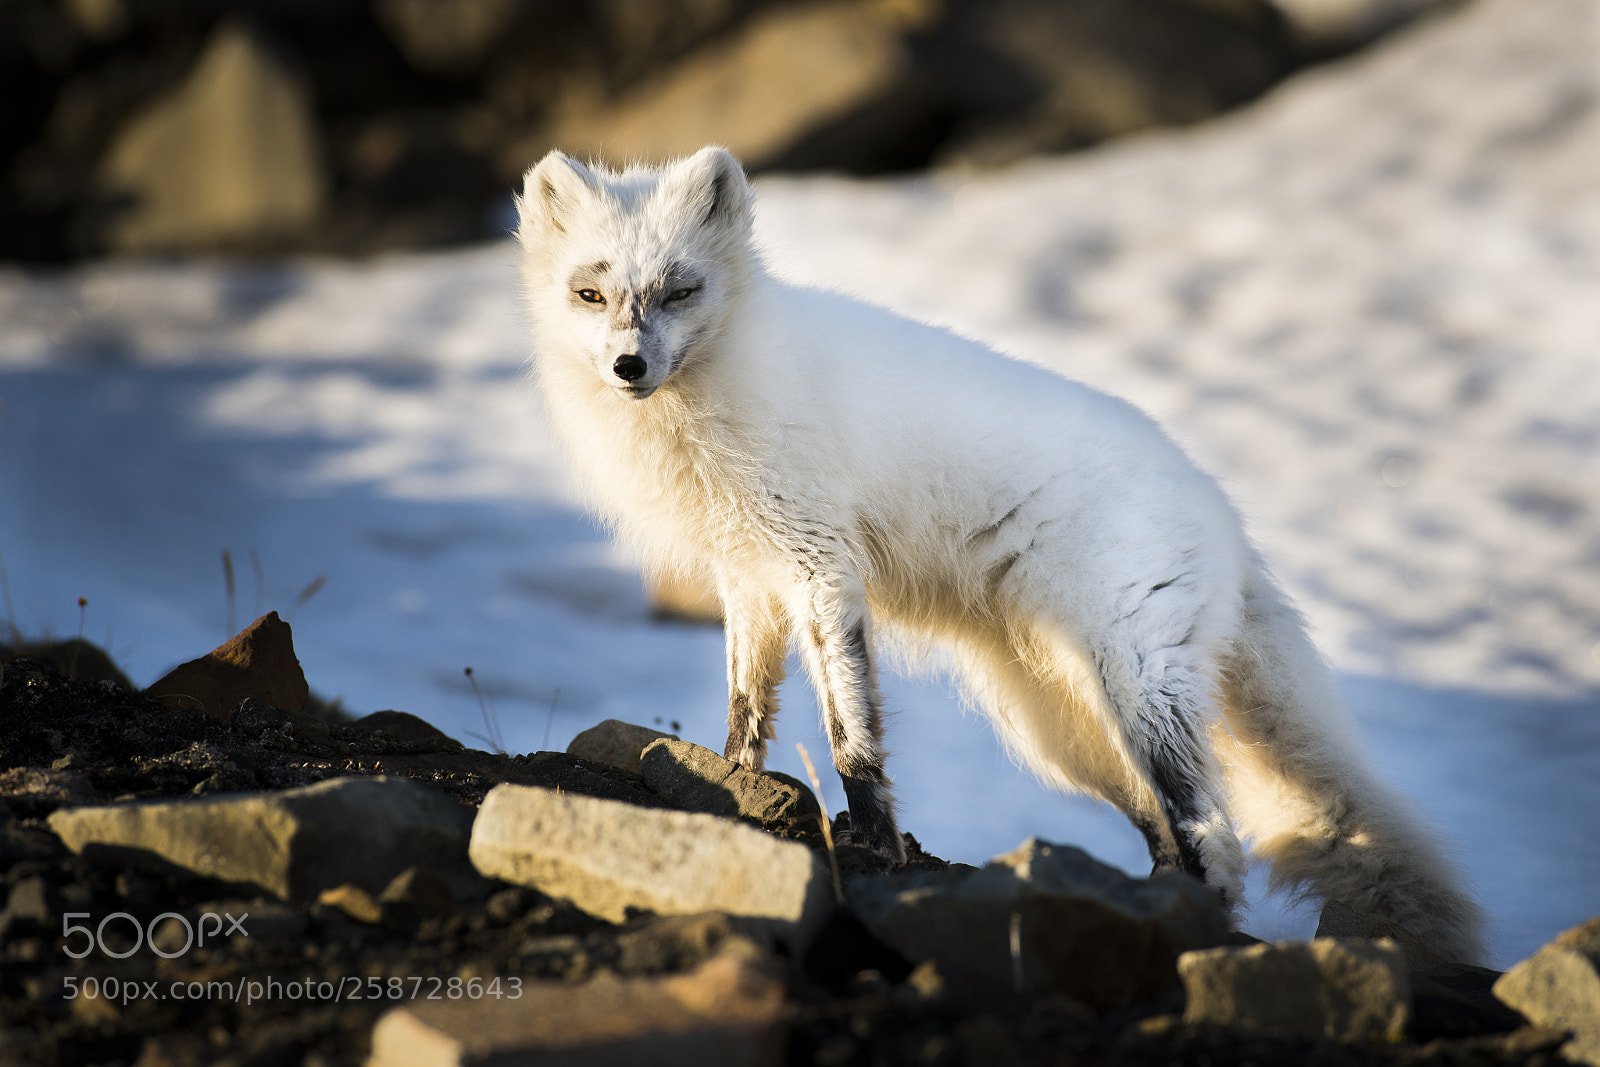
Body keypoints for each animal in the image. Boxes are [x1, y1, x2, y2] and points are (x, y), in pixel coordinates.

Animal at [514, 145, 1485, 965]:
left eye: (680, 290)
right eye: (591, 295)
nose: (630, 367)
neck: (711, 402)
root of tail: (1222, 513)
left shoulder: (820, 567)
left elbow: (851, 733)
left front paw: (874, 843)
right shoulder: (748, 572)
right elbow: (747, 706)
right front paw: (736, 785)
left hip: (1141, 689)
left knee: (1212, 832)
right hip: (1063, 731)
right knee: (1161, 827)